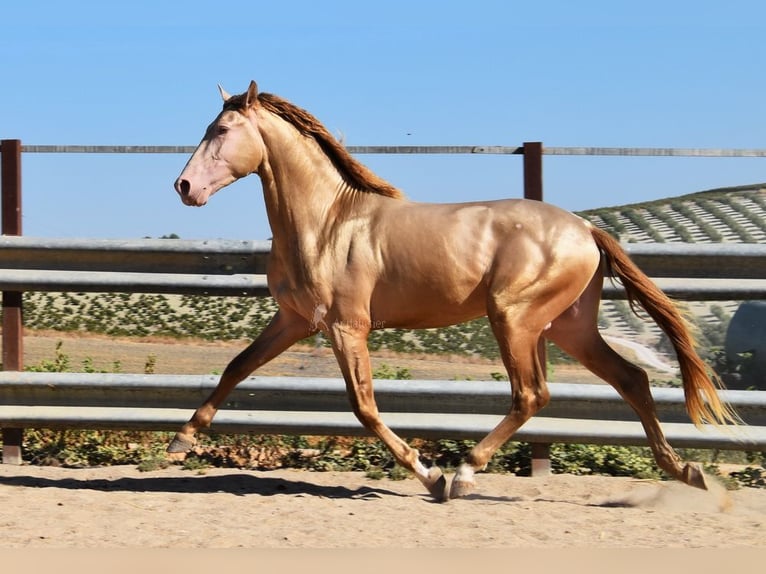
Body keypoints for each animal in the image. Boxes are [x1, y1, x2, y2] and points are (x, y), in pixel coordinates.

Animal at [172, 82, 736, 504]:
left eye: (221, 130)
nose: (184, 188)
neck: (327, 223)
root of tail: (586, 229)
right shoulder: (294, 320)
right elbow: (237, 366)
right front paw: (182, 439)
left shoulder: (346, 327)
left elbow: (364, 406)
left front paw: (431, 475)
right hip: (568, 326)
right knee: (631, 379)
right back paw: (685, 471)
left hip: (514, 317)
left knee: (533, 393)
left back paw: (464, 474)